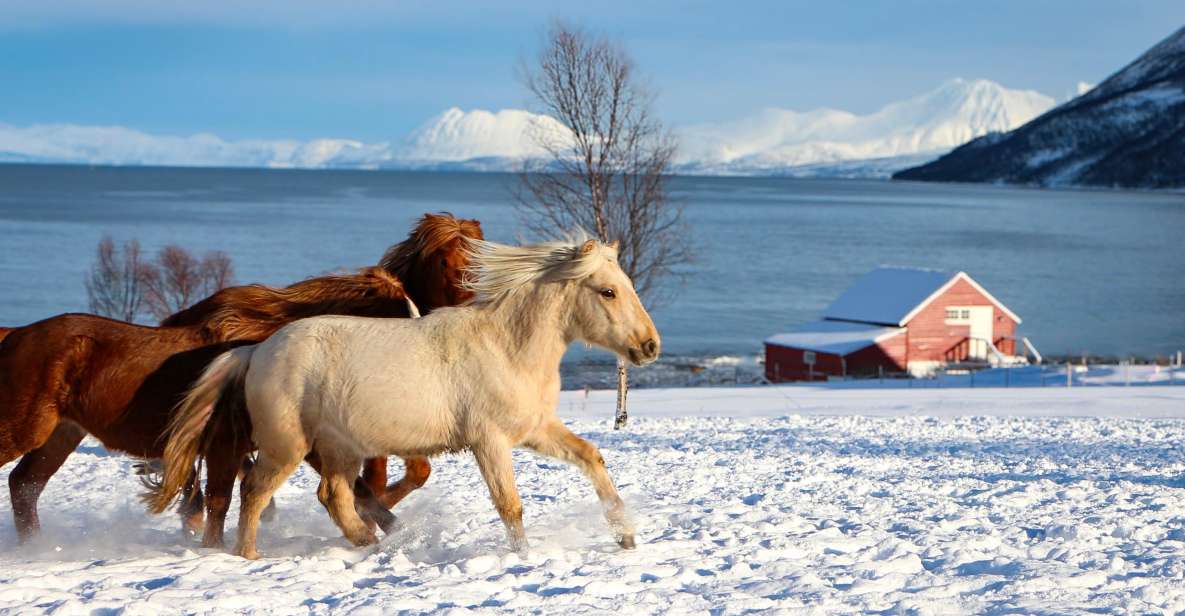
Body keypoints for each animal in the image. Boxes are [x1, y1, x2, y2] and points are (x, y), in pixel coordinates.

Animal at [1, 213, 481, 544]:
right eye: (444, 263)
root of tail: (15, 336)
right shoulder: (238, 444)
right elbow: (223, 501)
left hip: (61, 433)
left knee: (25, 487)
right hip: (27, 429)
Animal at [150, 235, 658, 559]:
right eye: (607, 291)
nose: (650, 346)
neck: (507, 347)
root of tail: (256, 351)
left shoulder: (535, 430)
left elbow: (591, 457)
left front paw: (626, 537)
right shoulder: (489, 442)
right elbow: (509, 504)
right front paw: (523, 557)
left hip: (339, 448)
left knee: (333, 496)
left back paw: (370, 542)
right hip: (287, 447)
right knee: (255, 492)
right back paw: (250, 555)